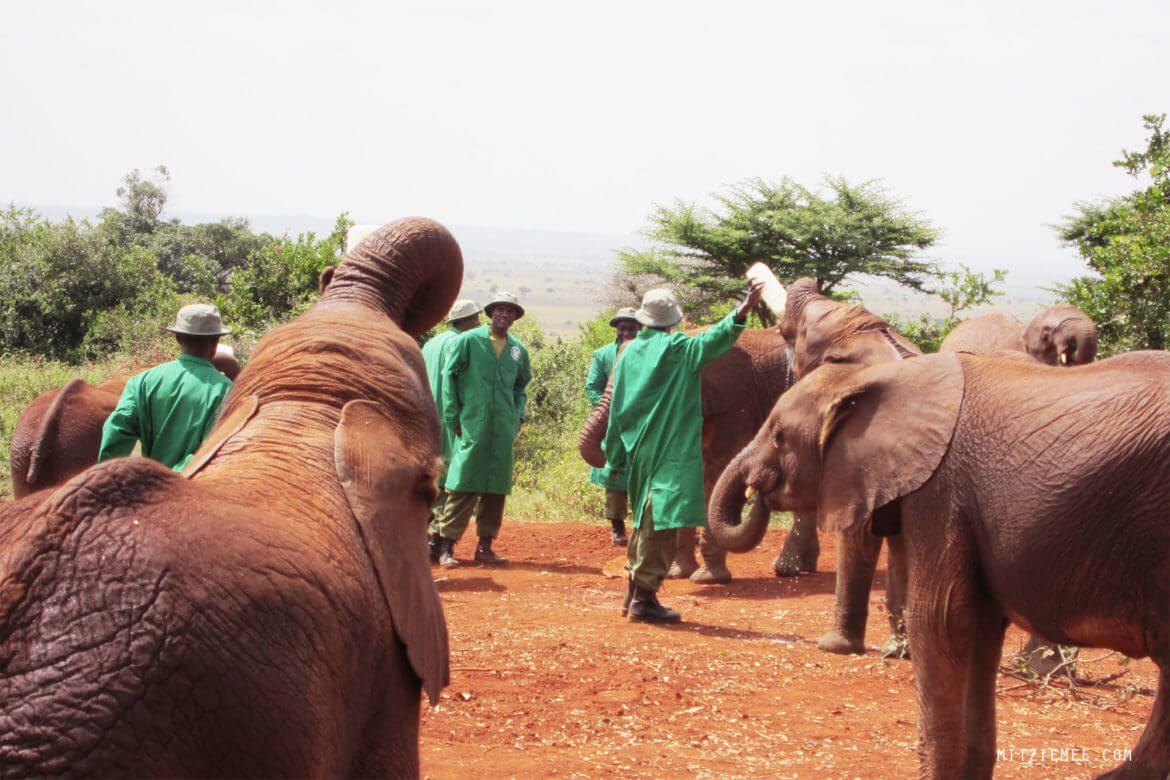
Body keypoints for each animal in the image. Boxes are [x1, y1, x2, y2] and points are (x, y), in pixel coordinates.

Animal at [709, 350, 1170, 778]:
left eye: (779, 436)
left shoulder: (941, 490)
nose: (757, 493)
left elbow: (941, 620)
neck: (881, 375)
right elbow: (979, 627)